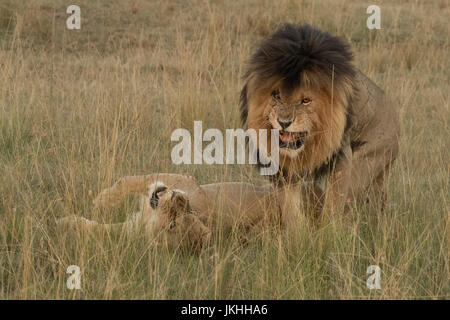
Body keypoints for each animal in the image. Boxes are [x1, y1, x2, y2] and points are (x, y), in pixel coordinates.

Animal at [241, 23, 400, 215]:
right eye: (276, 95)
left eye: (305, 100)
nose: (284, 122)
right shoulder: (284, 169)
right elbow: (290, 210)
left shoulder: (341, 159)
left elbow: (332, 206)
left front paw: (328, 224)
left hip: (367, 162)